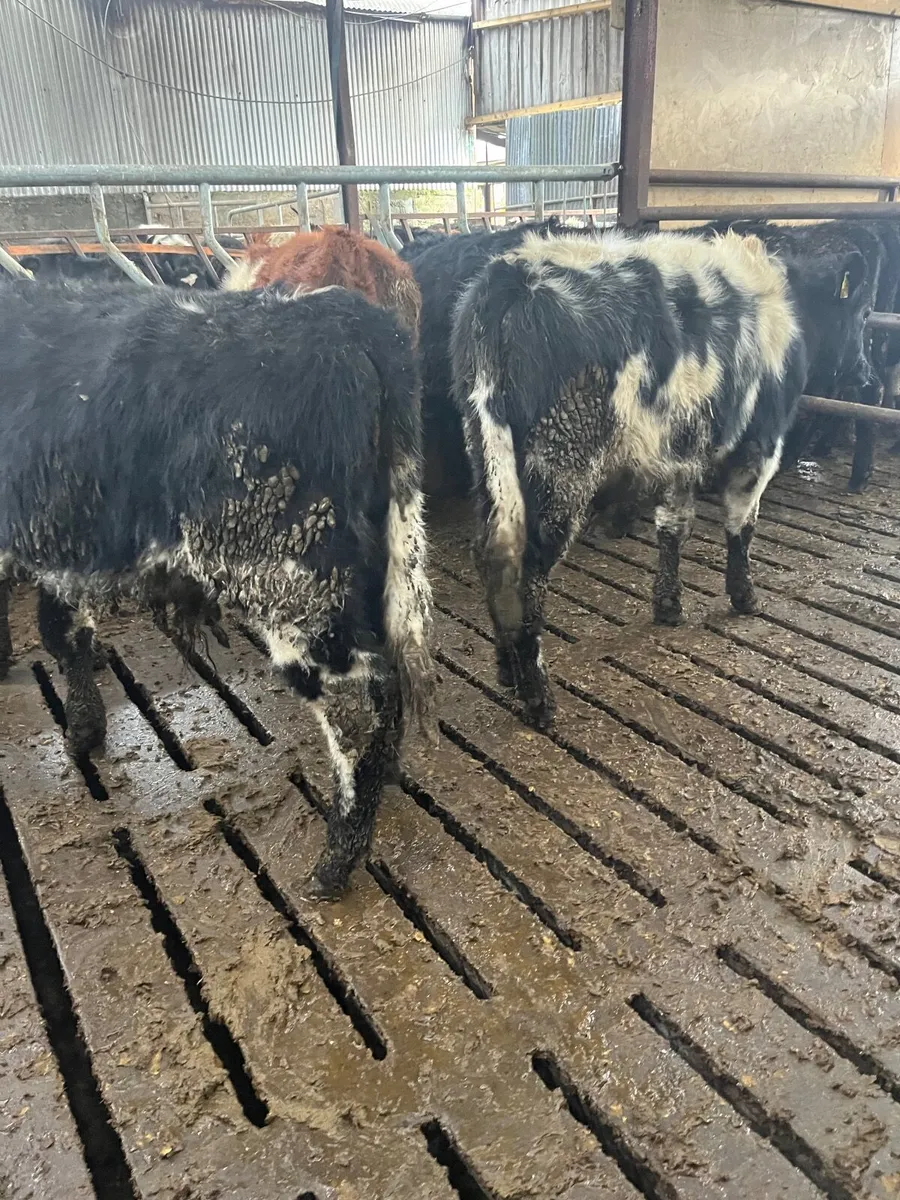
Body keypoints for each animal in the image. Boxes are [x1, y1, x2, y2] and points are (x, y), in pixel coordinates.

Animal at [0, 278, 434, 898]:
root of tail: (337, 312)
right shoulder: (63, 548)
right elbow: (65, 630)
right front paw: (84, 728)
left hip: (288, 580)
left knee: (358, 703)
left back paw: (335, 862)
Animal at [451, 228, 870, 729]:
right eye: (865, 313)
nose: (866, 373)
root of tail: (512, 275)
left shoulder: (681, 451)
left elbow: (674, 527)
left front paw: (668, 605)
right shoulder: (761, 443)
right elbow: (742, 525)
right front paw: (744, 596)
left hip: (487, 455)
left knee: (491, 552)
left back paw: (506, 668)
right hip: (560, 462)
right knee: (526, 563)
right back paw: (538, 697)